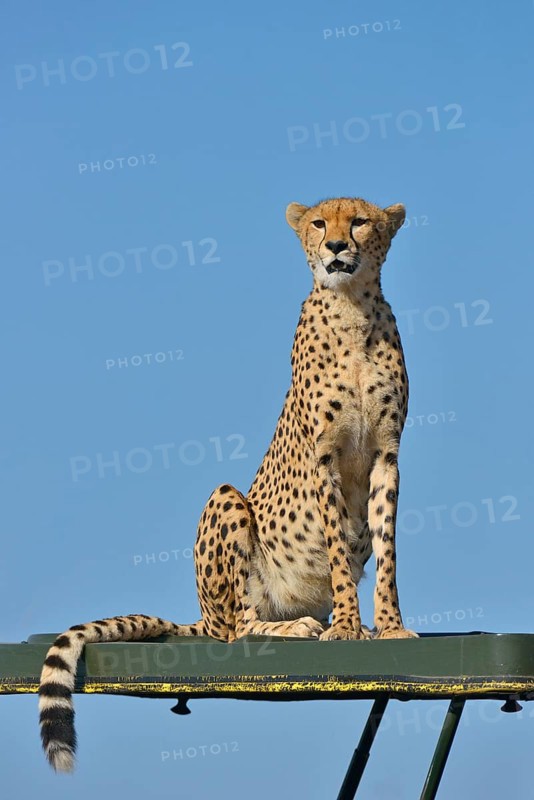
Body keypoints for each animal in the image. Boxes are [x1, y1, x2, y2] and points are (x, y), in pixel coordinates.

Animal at [38, 196, 417, 773]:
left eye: (359, 222)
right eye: (318, 223)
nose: (334, 246)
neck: (352, 309)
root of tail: (202, 615)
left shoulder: (386, 457)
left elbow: (388, 547)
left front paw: (389, 625)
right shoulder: (324, 459)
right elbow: (335, 546)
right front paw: (349, 627)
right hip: (226, 503)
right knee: (238, 626)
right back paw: (296, 627)